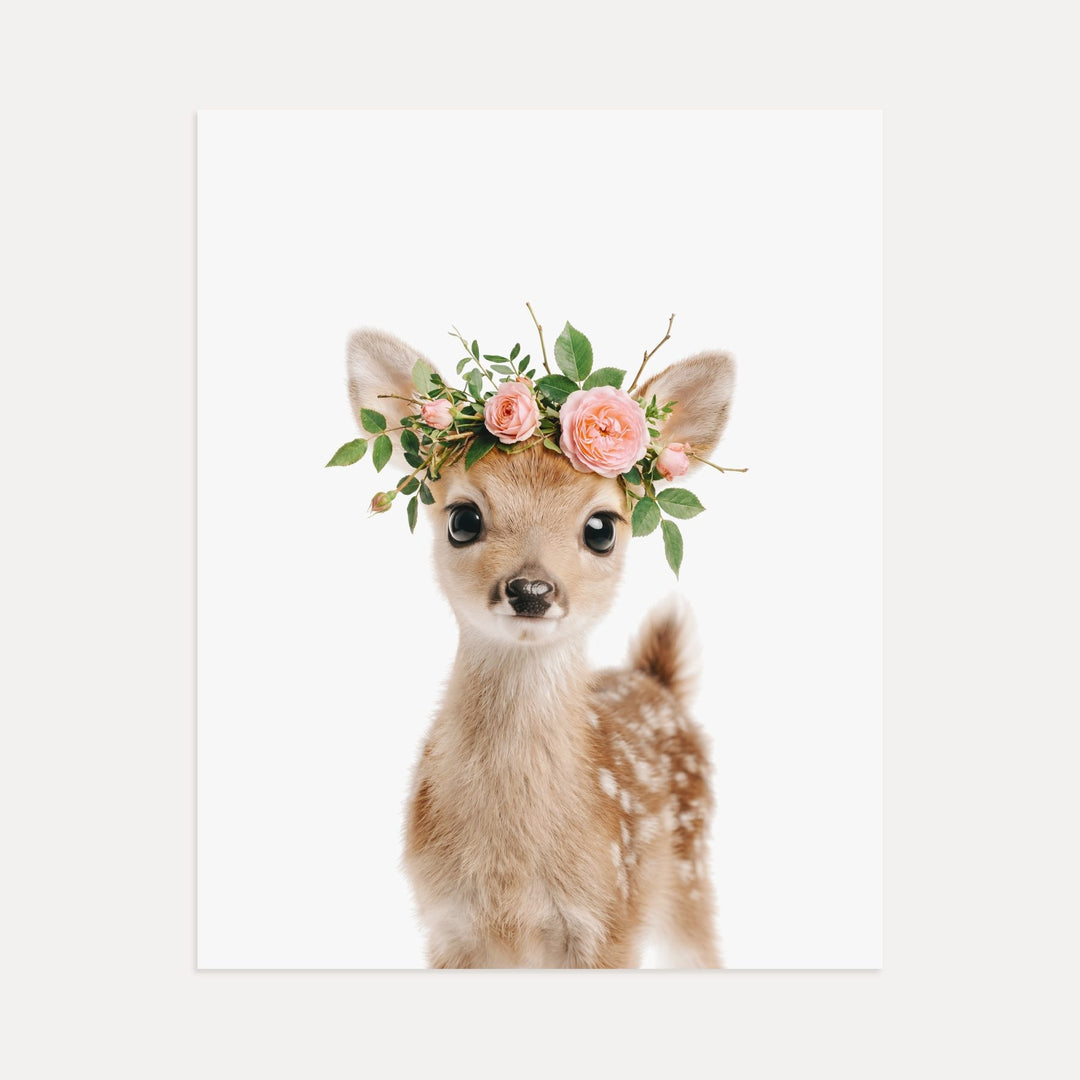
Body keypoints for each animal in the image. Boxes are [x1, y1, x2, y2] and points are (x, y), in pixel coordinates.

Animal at [346, 326, 736, 968]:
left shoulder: (610, 920)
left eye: (601, 528)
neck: (511, 875)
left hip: (690, 872)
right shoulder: (446, 925)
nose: (531, 590)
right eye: (463, 519)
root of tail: (656, 680)